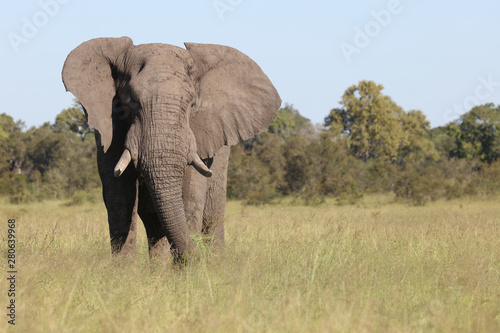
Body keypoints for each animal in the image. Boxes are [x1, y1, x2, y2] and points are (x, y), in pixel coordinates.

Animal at [61, 36, 282, 260]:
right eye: (131, 100)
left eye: (192, 104)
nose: (197, 256)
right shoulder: (109, 127)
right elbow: (119, 197)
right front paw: (124, 269)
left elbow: (190, 196)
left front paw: (189, 268)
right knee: (154, 226)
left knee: (212, 217)